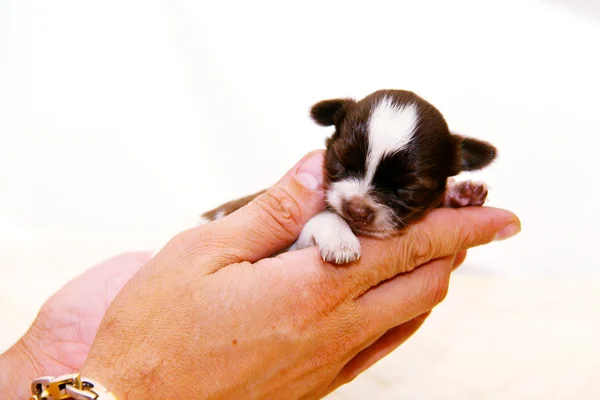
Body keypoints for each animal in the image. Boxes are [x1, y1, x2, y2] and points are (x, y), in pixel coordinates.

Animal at [199, 91, 494, 266]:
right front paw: (340, 240)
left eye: (409, 189)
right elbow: (326, 217)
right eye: (340, 162)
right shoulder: (289, 248)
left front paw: (462, 193)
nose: (357, 209)